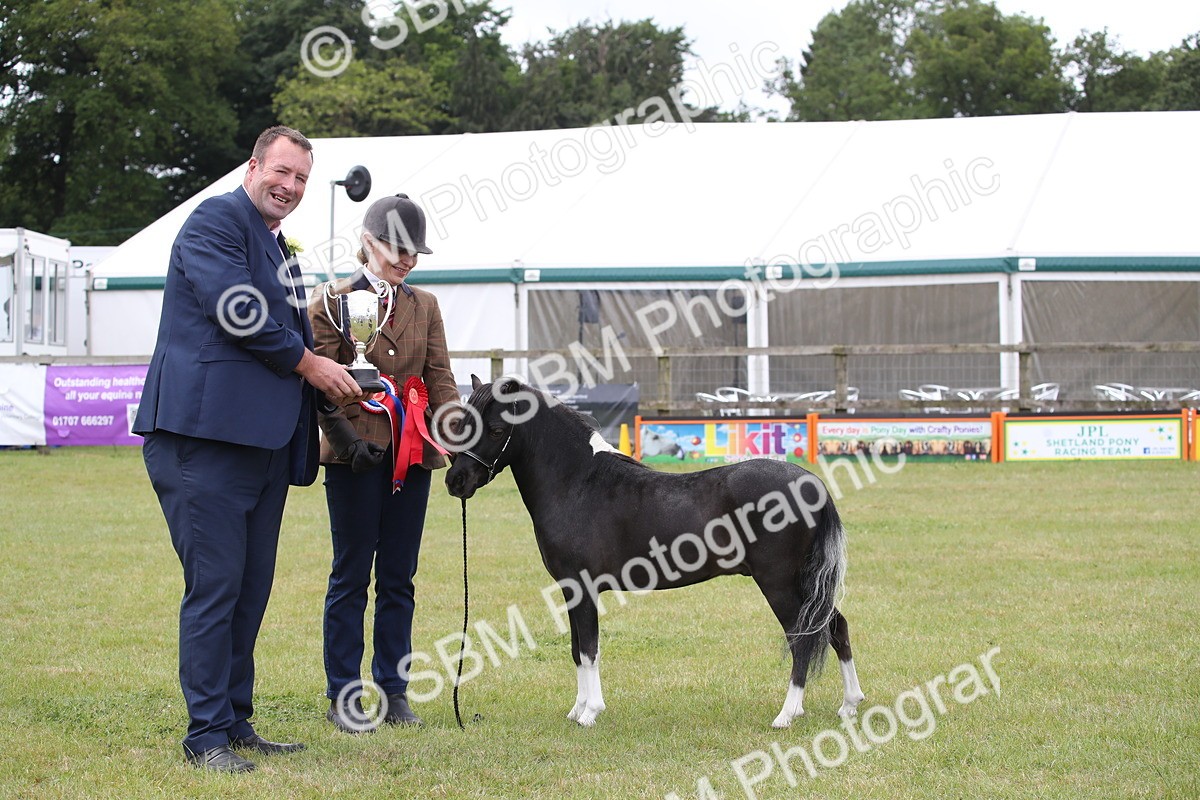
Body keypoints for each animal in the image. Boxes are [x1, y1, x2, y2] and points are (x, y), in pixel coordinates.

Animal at [444, 376, 865, 728]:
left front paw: (590, 713)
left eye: (496, 429)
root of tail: (811, 483)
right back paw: (849, 704)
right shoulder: (570, 589)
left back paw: (786, 714)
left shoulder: (584, 588)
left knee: (802, 639)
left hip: (779, 583)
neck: (578, 482)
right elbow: (576, 650)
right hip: (806, 585)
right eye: (463, 424)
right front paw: (577, 710)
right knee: (836, 627)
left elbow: (590, 649)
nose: (455, 481)